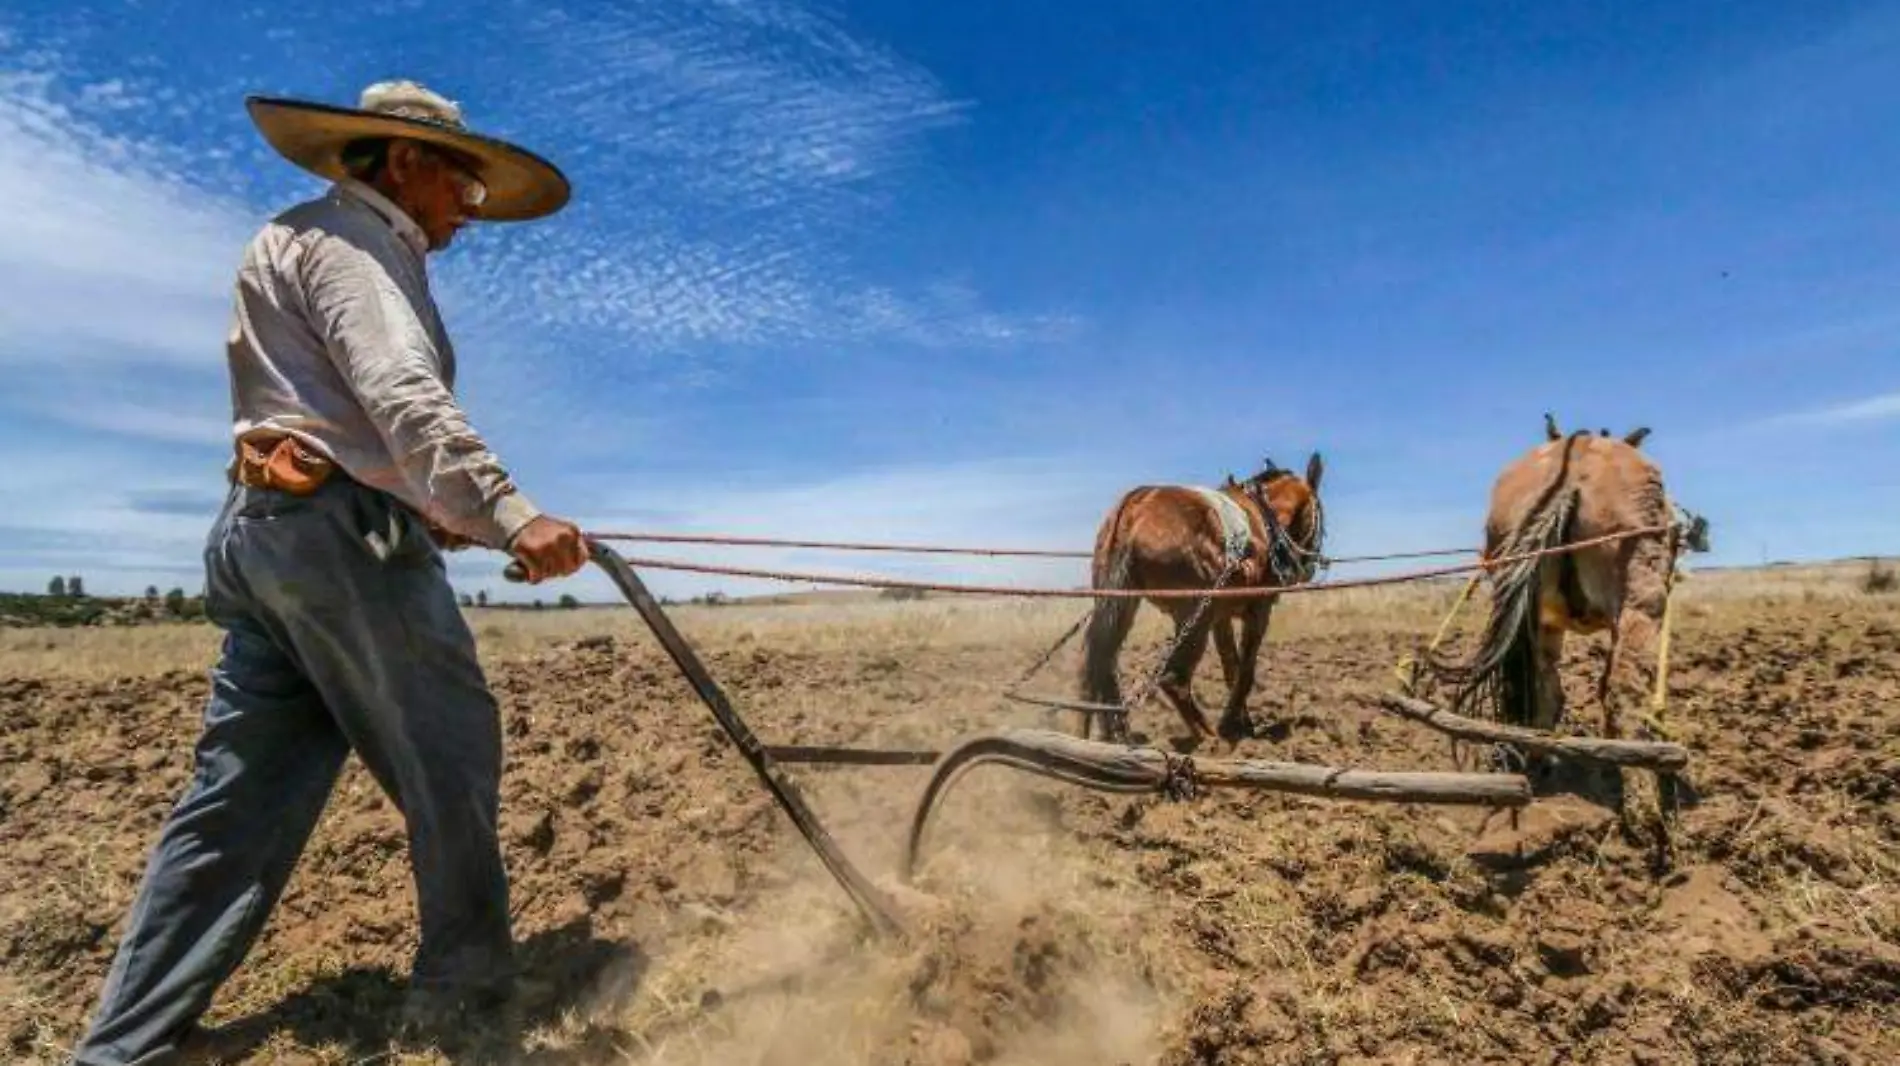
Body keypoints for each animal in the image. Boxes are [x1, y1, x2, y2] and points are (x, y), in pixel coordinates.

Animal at [1079, 452, 1330, 744]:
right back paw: (1210, 737)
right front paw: (1230, 725)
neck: (1266, 520)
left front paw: (1243, 725)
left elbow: (1231, 667)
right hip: (1196, 614)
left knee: (1102, 665)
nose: (1309, 568)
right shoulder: (1258, 609)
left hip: (1124, 603)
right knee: (1172, 678)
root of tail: (1135, 506)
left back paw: (1109, 735)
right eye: (1320, 517)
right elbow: (1245, 671)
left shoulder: (1221, 618)